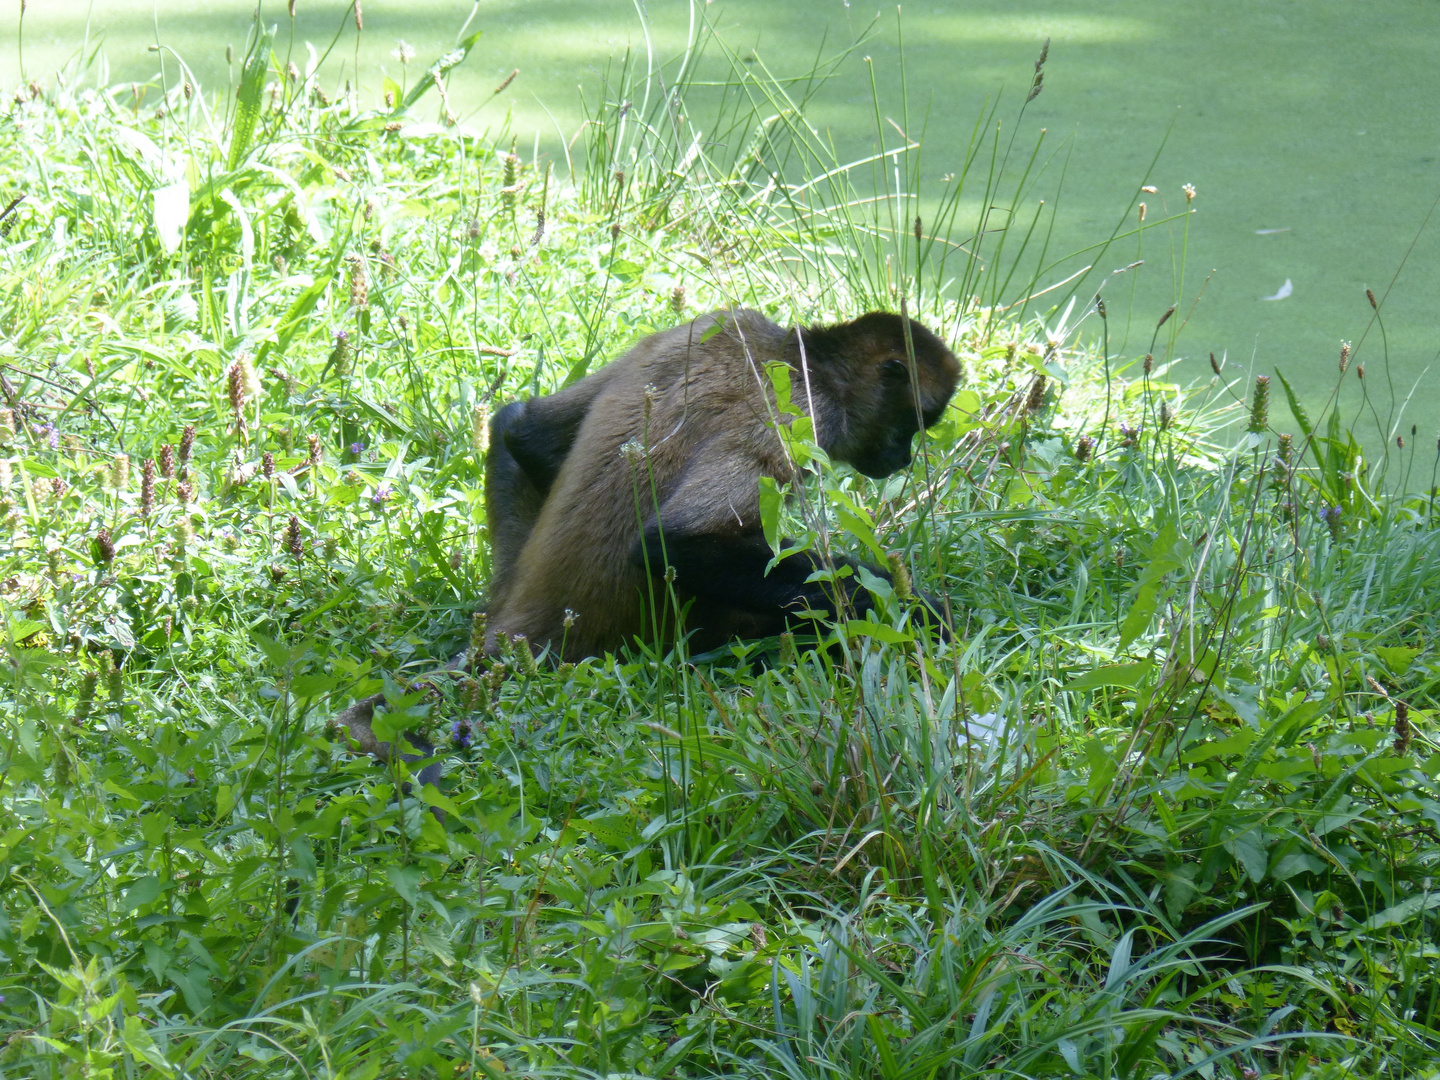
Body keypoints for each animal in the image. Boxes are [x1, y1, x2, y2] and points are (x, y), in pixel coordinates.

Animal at [334, 308, 956, 789]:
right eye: (914, 421)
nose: (903, 457)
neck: (794, 349)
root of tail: (519, 627)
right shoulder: (805, 410)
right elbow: (672, 543)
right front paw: (918, 607)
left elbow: (522, 428)